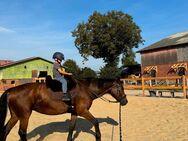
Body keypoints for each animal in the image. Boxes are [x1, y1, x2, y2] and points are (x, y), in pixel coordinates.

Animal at [0, 76, 128, 141]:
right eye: (120, 88)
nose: (125, 101)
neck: (86, 89)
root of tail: (11, 90)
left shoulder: (75, 113)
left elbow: (71, 127)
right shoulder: (83, 111)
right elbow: (96, 122)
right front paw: (98, 137)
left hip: (16, 116)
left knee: (6, 130)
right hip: (24, 116)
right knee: (22, 133)